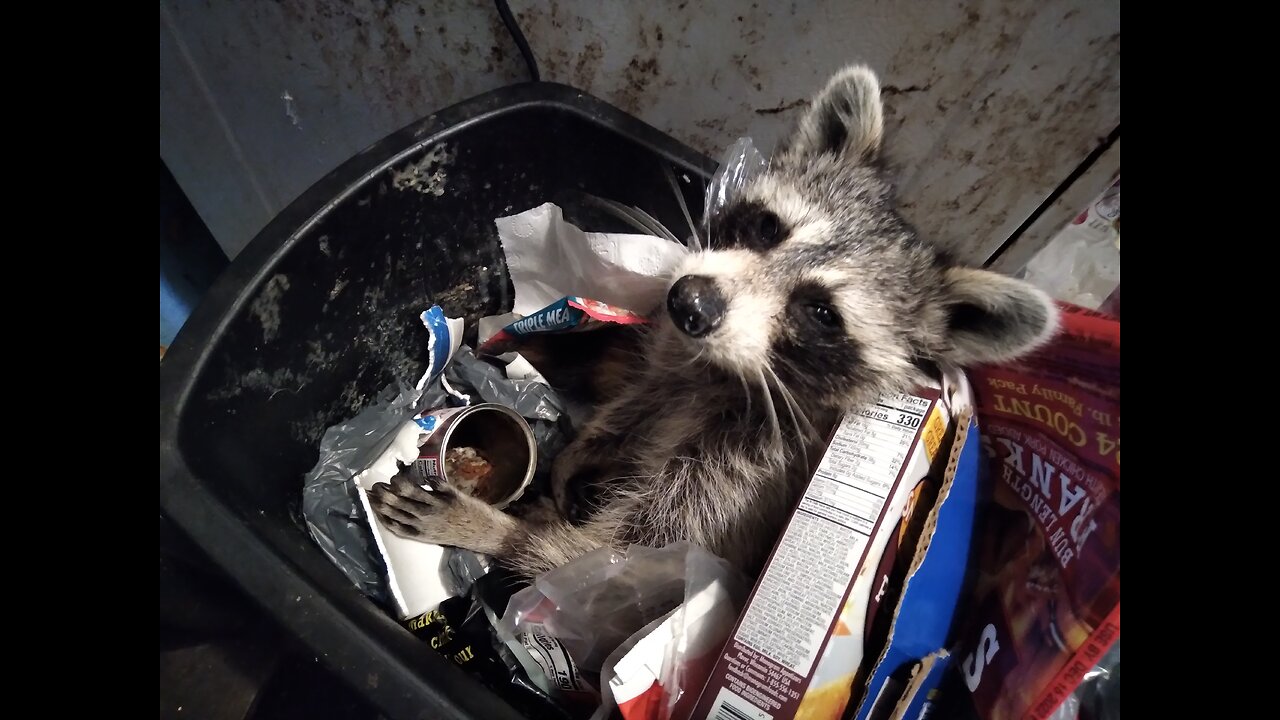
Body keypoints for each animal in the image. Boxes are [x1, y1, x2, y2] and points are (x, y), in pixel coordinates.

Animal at [373, 65, 1059, 576]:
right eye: (767, 227)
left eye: (821, 313)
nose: (689, 303)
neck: (722, 371)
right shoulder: (674, 363)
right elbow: (638, 400)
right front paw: (587, 445)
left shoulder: (745, 475)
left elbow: (617, 556)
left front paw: (494, 530)